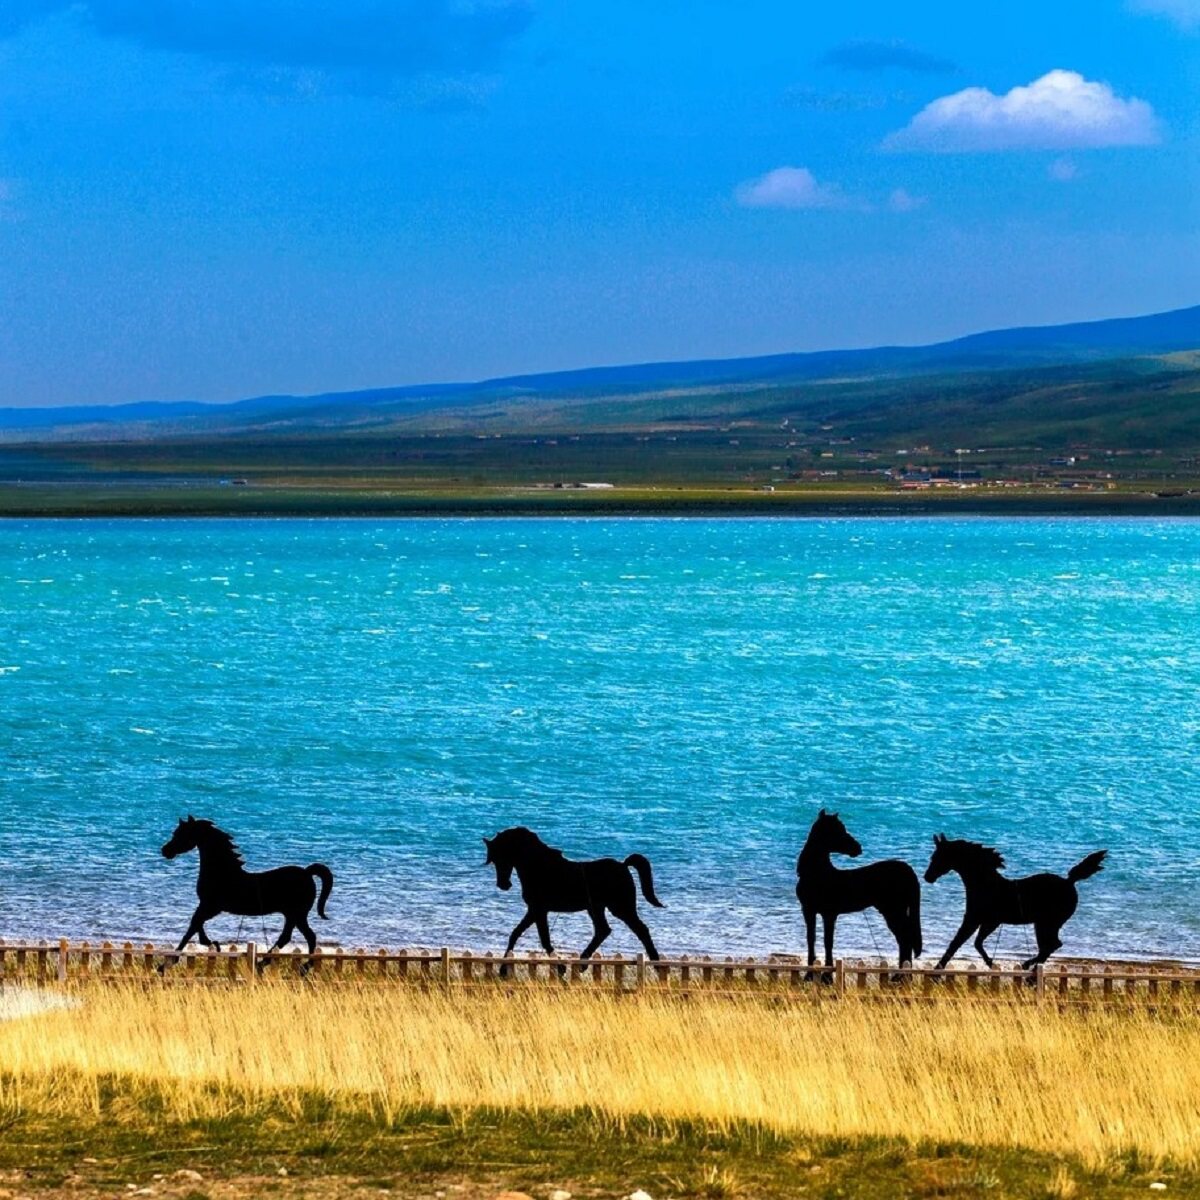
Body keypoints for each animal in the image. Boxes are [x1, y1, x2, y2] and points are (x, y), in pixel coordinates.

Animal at [161, 816, 334, 965]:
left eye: (181, 833)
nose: (165, 850)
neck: (222, 872)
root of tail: (306, 872)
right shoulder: (208, 906)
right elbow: (196, 924)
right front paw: (214, 944)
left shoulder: (212, 906)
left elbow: (194, 924)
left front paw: (170, 962)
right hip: (292, 915)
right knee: (289, 937)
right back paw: (265, 963)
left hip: (297, 914)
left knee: (307, 937)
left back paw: (298, 967)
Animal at [483, 826, 664, 972]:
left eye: (500, 856)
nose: (503, 884)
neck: (539, 866)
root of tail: (623, 865)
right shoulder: (535, 910)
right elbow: (516, 934)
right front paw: (503, 970)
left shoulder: (538, 909)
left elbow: (543, 939)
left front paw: (561, 968)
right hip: (597, 908)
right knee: (603, 930)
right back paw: (583, 964)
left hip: (620, 908)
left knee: (640, 930)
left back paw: (656, 964)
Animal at [795, 809, 922, 979]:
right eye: (836, 830)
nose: (858, 847)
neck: (817, 874)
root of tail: (908, 871)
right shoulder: (808, 911)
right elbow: (811, 939)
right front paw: (809, 975)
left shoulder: (829, 914)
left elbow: (828, 942)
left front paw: (827, 977)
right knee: (903, 939)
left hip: (894, 911)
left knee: (905, 939)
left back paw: (901, 977)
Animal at [924, 834, 1107, 972]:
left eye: (937, 857)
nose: (927, 877)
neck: (986, 884)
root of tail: (1070, 881)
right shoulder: (988, 922)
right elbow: (975, 943)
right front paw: (992, 964)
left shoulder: (976, 920)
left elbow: (957, 943)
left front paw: (937, 970)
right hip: (1045, 925)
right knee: (1049, 947)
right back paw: (1030, 970)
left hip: (1047, 924)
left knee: (1051, 946)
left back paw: (1027, 968)